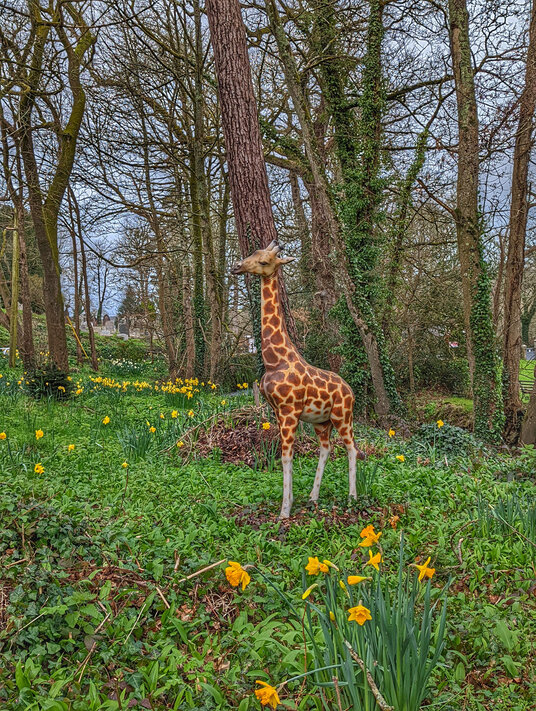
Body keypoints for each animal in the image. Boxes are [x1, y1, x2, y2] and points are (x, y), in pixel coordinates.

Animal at [232, 241, 365, 519]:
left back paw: (352, 497)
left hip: (343, 416)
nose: (236, 267)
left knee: (351, 449)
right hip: (322, 422)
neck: (275, 359)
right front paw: (291, 502)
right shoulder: (277, 411)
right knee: (326, 449)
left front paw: (284, 511)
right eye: (252, 253)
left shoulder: (289, 411)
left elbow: (286, 457)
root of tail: (350, 390)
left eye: (264, 261)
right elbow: (287, 457)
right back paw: (313, 497)